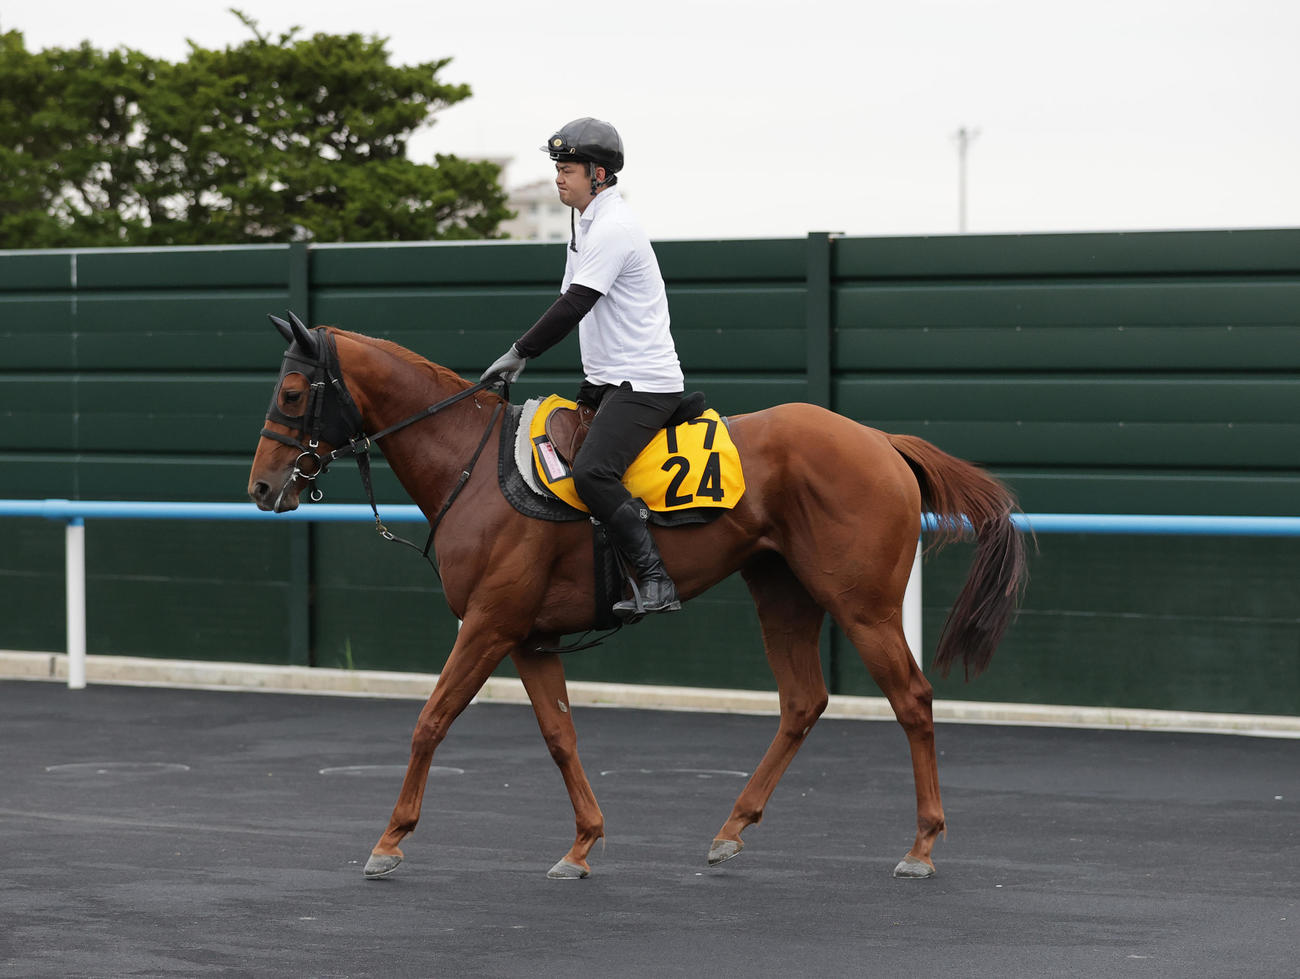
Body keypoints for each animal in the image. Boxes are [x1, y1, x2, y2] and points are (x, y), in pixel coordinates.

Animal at [247, 315, 1027, 881]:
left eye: (292, 394)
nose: (261, 486)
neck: (472, 464)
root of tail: (879, 441)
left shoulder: (488, 625)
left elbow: (430, 721)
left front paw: (390, 838)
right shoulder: (529, 638)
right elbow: (560, 737)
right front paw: (583, 844)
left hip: (863, 607)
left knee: (912, 701)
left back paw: (921, 845)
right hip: (782, 595)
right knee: (803, 702)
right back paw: (731, 828)